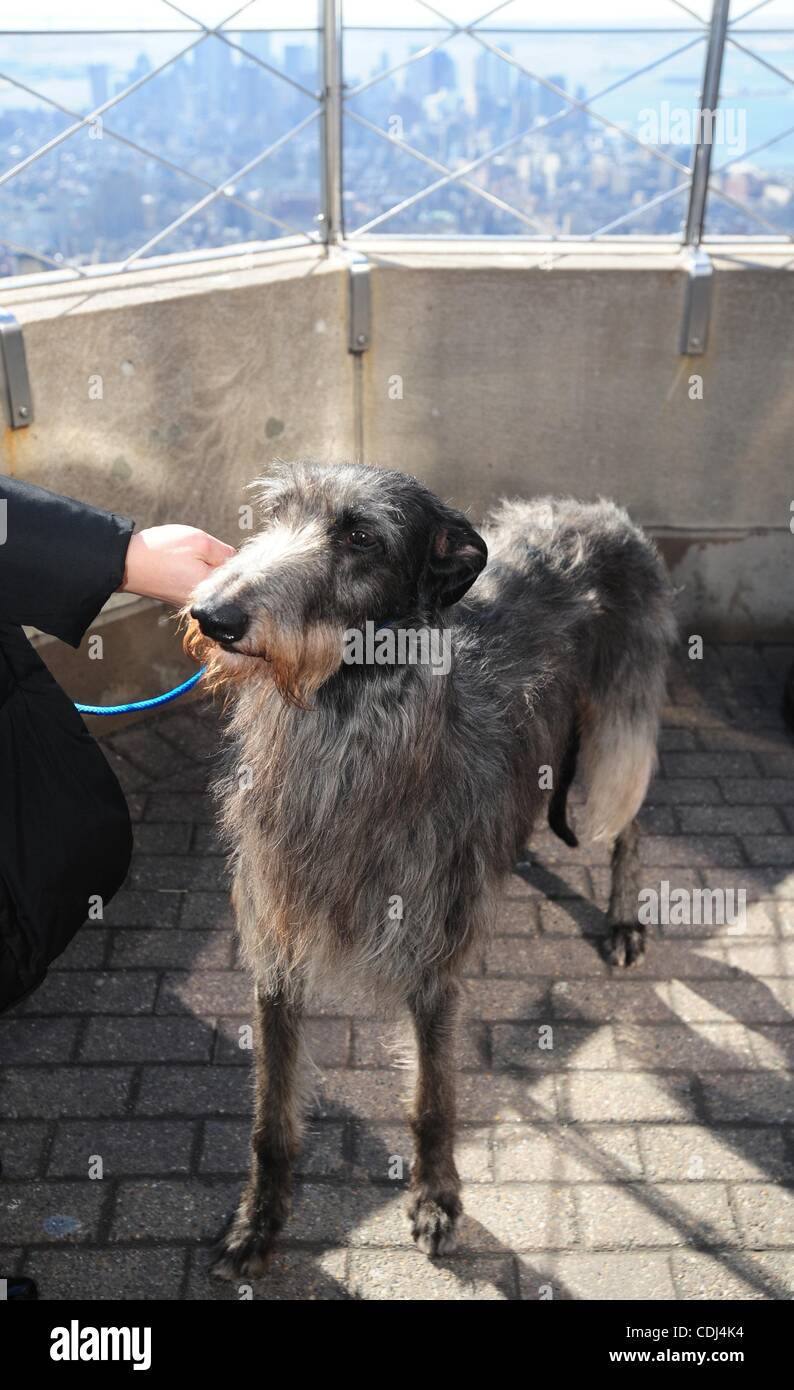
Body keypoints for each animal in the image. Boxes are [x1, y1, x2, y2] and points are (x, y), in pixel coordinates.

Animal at [187, 461, 678, 1273]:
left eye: (361, 538)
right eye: (276, 513)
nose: (212, 614)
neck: (345, 721)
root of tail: (598, 510)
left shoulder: (432, 963)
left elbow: (432, 1101)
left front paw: (437, 1198)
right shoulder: (275, 945)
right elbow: (271, 1114)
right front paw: (259, 1220)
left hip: (619, 721)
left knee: (627, 814)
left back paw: (623, 917)